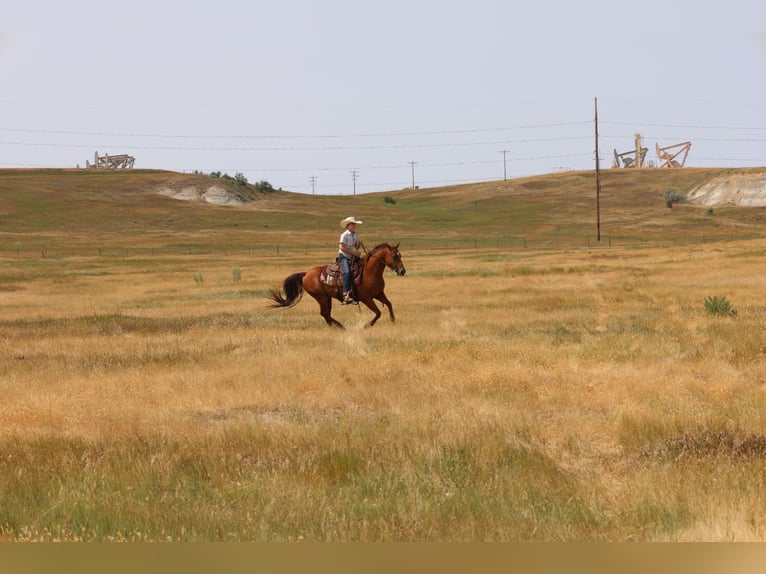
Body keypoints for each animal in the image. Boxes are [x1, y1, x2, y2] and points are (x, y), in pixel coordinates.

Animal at [267, 242, 406, 329]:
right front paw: (366, 325)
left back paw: (338, 327)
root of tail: (306, 274)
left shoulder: (378, 294)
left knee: (326, 314)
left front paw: (393, 321)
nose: (402, 271)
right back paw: (341, 327)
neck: (370, 271)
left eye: (400, 255)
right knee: (325, 314)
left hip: (327, 297)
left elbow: (389, 304)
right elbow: (378, 313)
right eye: (394, 256)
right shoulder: (366, 298)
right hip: (321, 297)